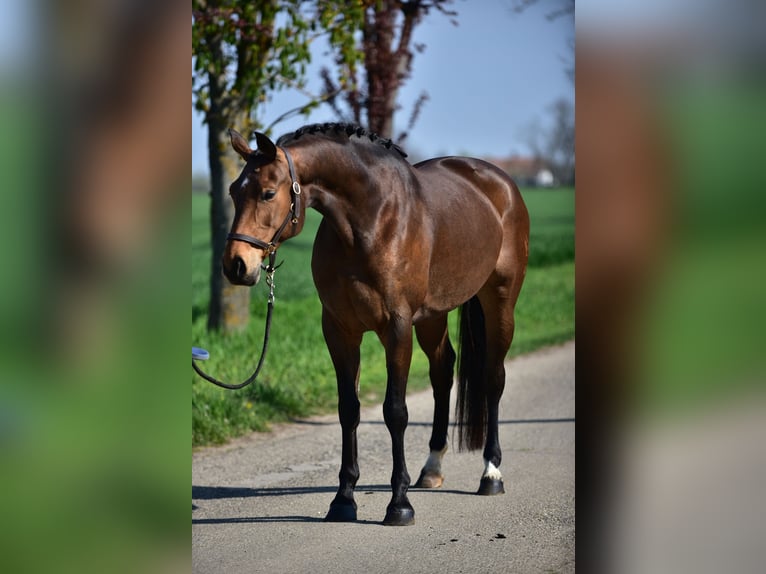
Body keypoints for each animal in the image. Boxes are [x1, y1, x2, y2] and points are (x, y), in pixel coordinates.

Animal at [222, 123, 529, 526]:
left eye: (268, 192)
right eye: (233, 191)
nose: (236, 265)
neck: (369, 221)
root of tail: (500, 183)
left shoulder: (396, 329)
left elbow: (395, 412)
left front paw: (398, 504)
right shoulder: (340, 331)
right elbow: (349, 410)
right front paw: (343, 500)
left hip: (500, 300)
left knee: (493, 378)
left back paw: (491, 473)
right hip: (432, 316)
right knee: (443, 371)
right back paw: (431, 468)